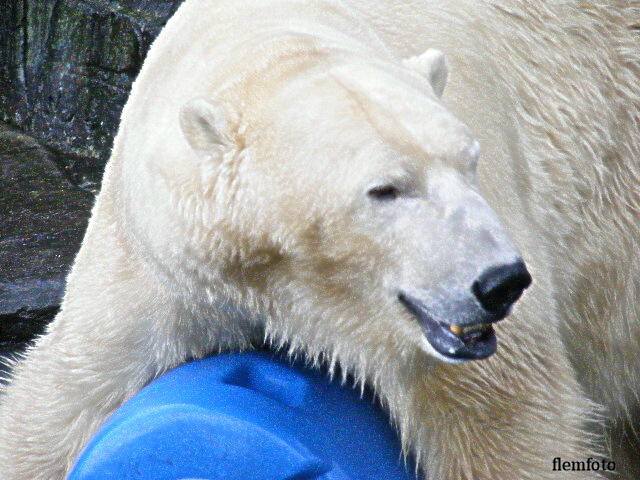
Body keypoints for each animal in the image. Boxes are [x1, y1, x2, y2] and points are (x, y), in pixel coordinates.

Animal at [1, 0, 640, 478]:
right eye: (385, 189)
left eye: (471, 162)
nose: (500, 281)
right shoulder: (162, 264)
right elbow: (60, 402)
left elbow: (507, 419)